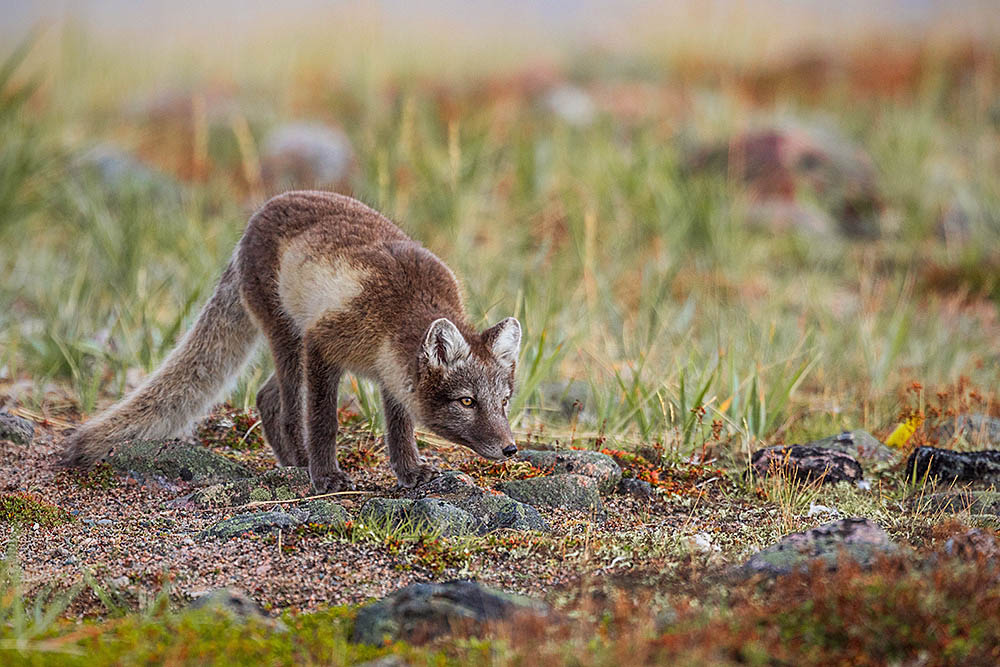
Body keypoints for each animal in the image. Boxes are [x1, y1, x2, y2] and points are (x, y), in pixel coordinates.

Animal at [60, 190, 524, 494]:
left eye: (503, 402)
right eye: (467, 402)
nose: (511, 449)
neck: (400, 314)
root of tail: (254, 219)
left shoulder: (392, 376)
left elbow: (399, 429)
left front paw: (410, 473)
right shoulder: (323, 344)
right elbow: (323, 421)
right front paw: (328, 477)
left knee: (265, 398)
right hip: (289, 339)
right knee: (282, 409)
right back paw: (301, 464)